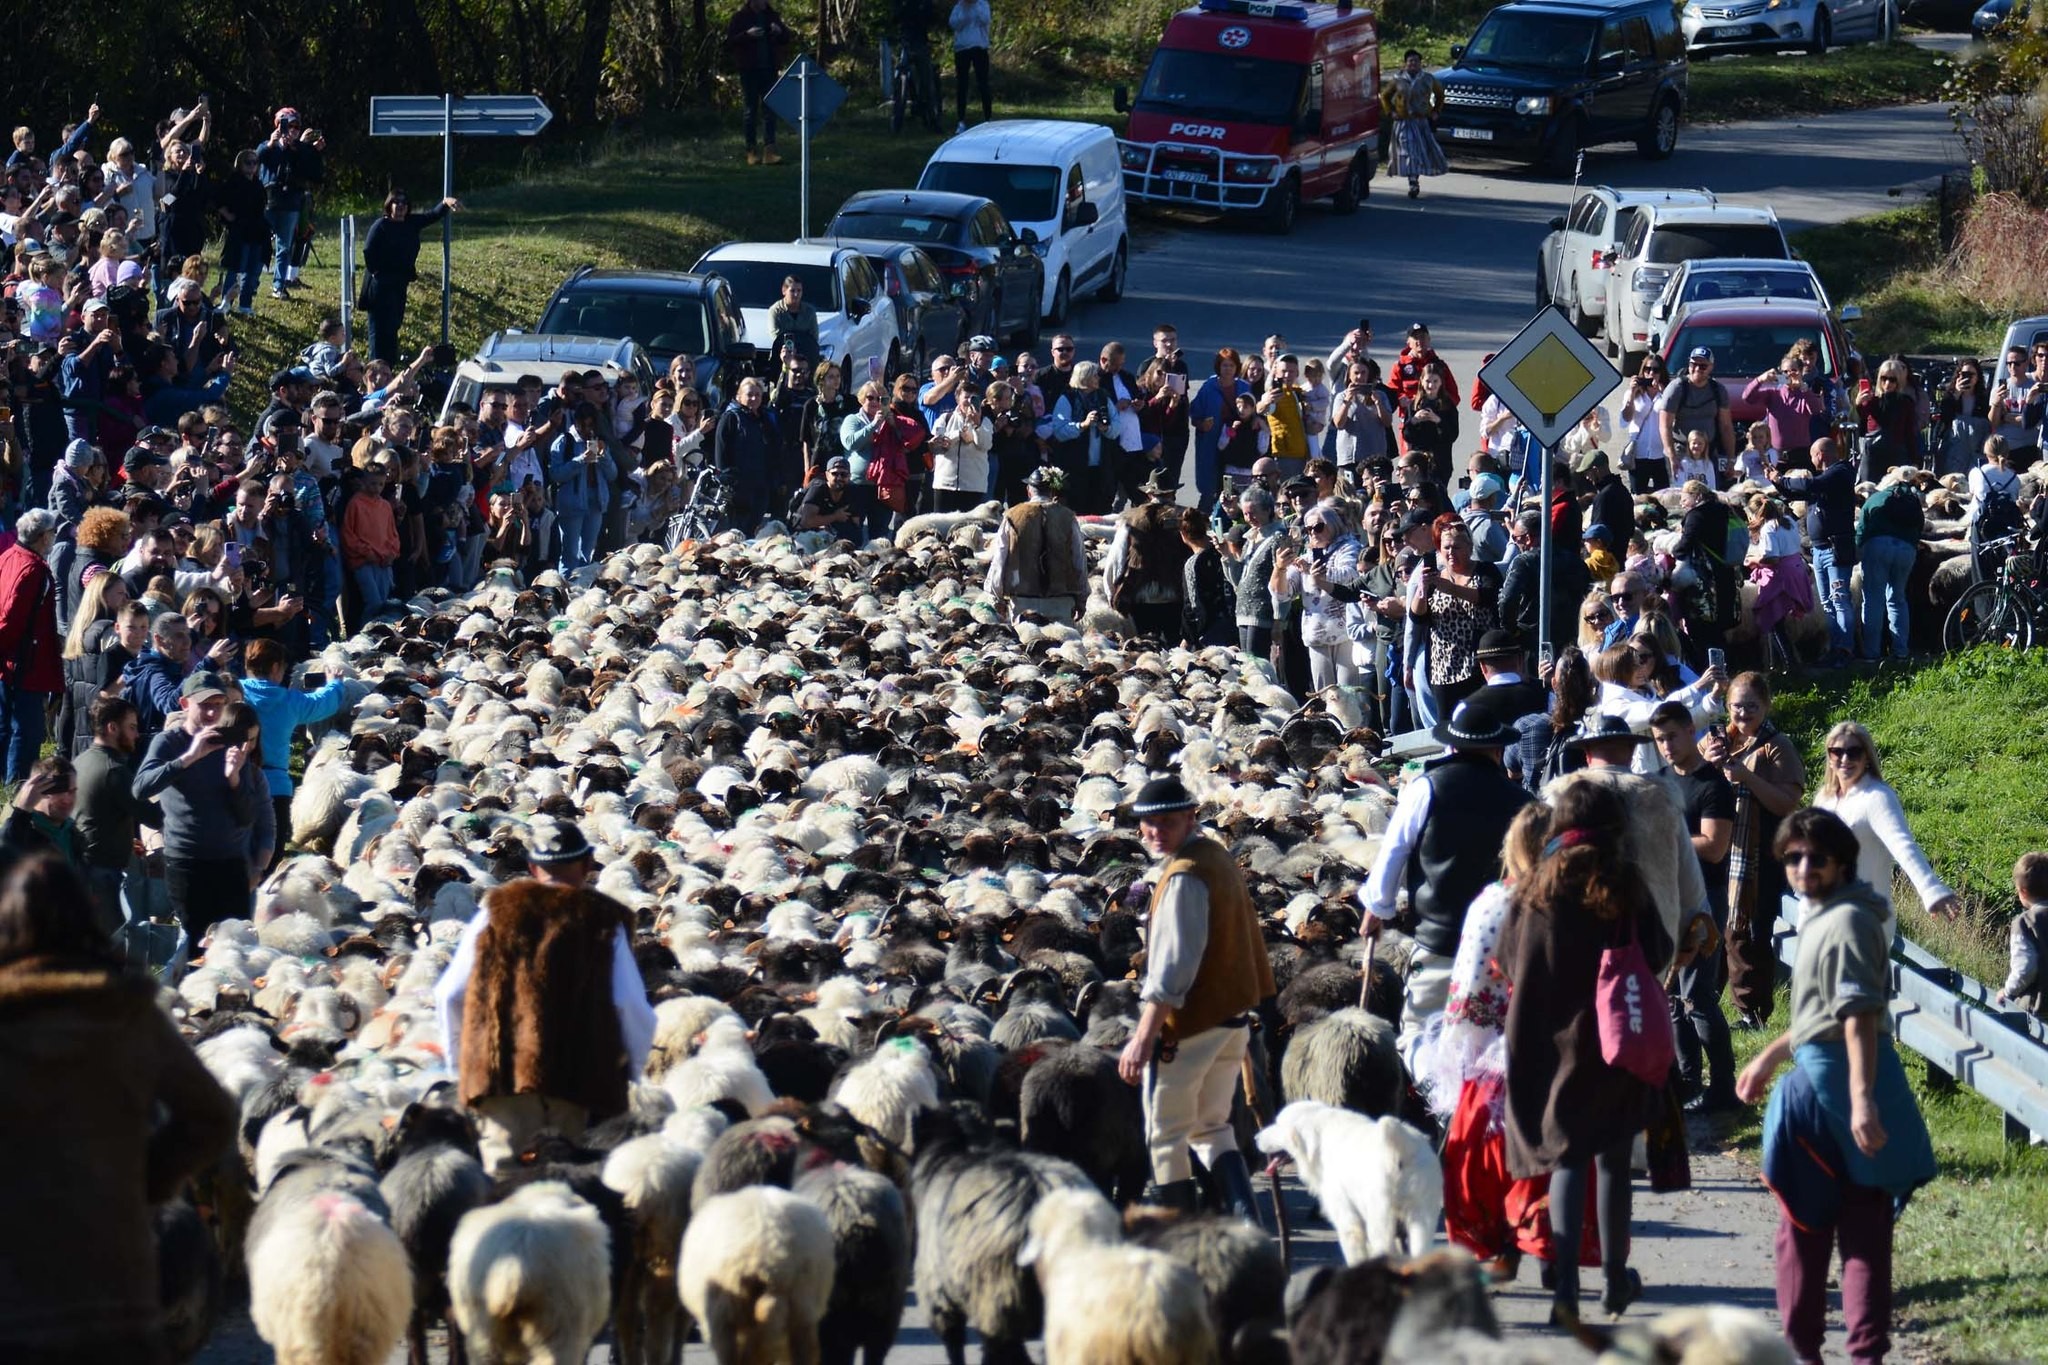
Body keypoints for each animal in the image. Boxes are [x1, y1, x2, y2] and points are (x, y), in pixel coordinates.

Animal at [1245, 1096, 1441, 1268]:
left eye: (1278, 1125)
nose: (1255, 1138)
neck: (1320, 1138)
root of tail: (1401, 1147)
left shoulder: (1347, 1219)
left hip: (1381, 1219)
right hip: (1422, 1219)